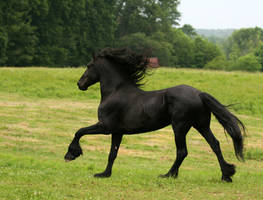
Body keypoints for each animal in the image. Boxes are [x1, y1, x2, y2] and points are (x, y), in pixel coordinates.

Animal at [65, 47, 246, 182]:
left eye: (89, 65)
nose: (80, 84)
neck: (115, 92)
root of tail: (199, 94)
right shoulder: (117, 132)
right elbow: (112, 153)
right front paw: (104, 174)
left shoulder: (105, 127)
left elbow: (79, 131)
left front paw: (71, 154)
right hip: (201, 125)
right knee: (214, 144)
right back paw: (226, 175)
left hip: (180, 127)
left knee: (182, 151)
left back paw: (168, 175)